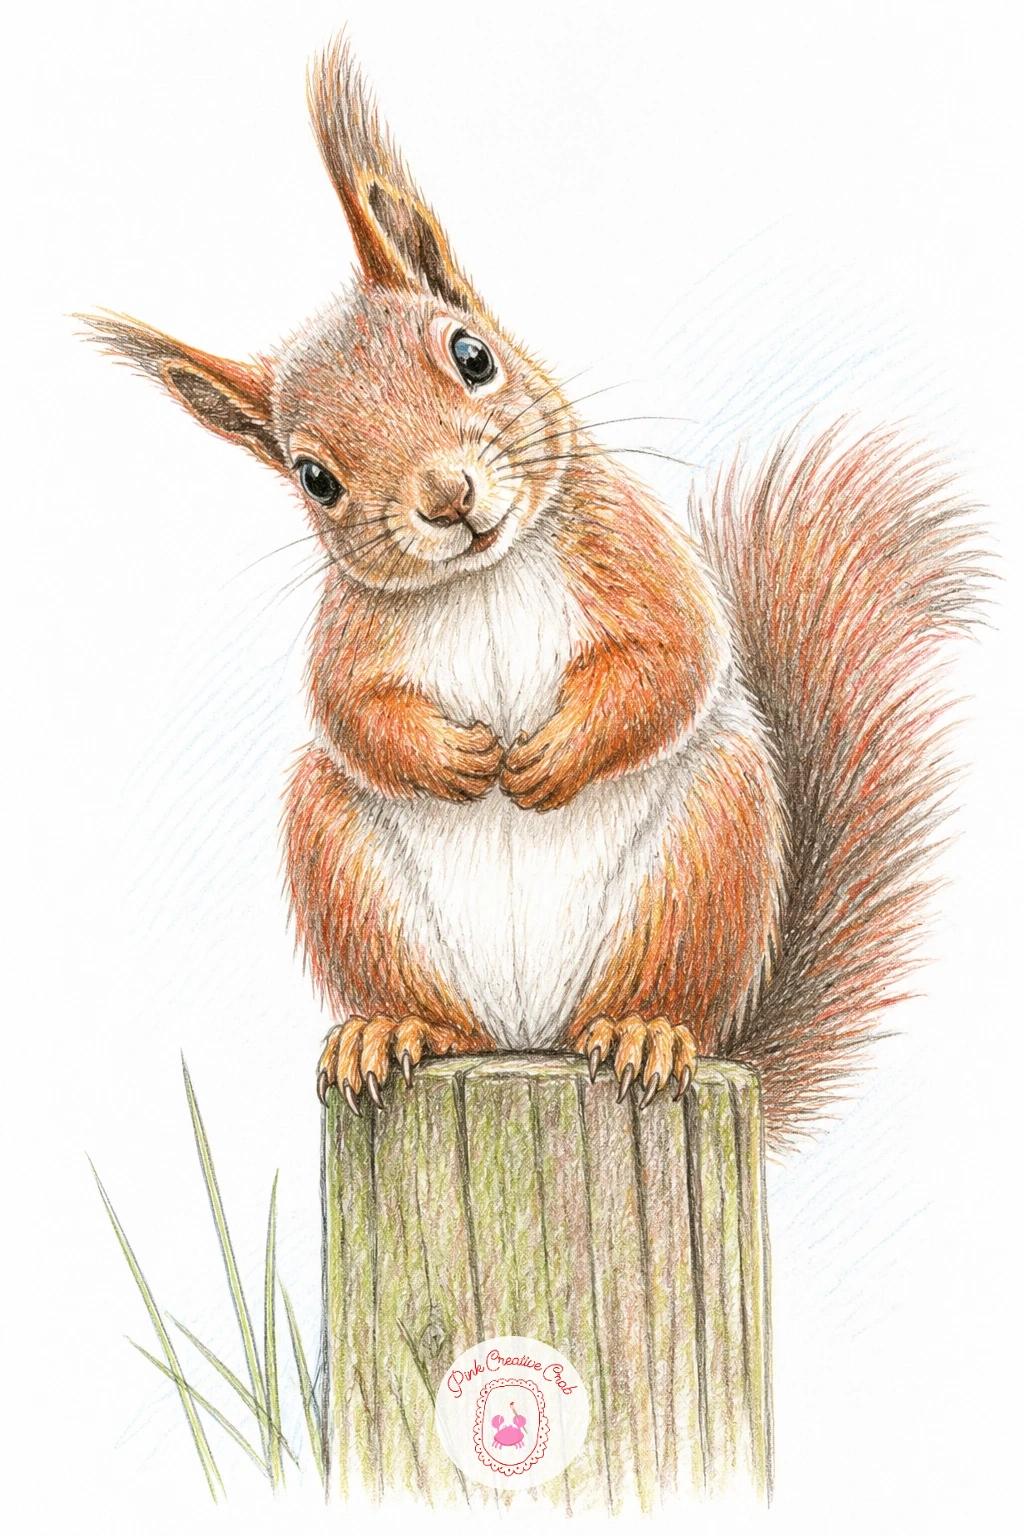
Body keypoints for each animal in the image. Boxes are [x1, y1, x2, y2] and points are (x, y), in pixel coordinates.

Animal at [80, 37, 981, 1149]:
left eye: (472, 355)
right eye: (314, 478)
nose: (446, 497)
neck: (484, 574)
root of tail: (534, 1036)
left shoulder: (633, 555)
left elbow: (672, 657)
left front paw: (549, 757)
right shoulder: (349, 634)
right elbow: (353, 712)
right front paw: (456, 758)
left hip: (709, 857)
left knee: (665, 994)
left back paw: (645, 1030)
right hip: (340, 865)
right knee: (431, 1005)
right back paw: (391, 1030)